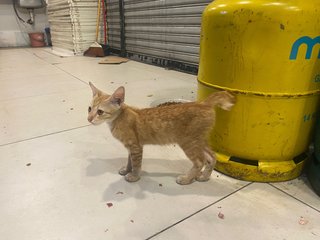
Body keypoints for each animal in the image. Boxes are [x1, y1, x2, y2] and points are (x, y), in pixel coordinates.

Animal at [87, 81, 235, 185]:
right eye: (89, 108)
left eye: (100, 112)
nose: (88, 119)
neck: (119, 118)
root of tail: (203, 103)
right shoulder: (130, 147)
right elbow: (130, 161)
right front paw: (127, 170)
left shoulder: (136, 147)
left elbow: (136, 164)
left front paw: (134, 176)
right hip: (198, 141)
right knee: (212, 156)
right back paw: (204, 177)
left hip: (188, 143)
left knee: (200, 161)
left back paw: (186, 179)